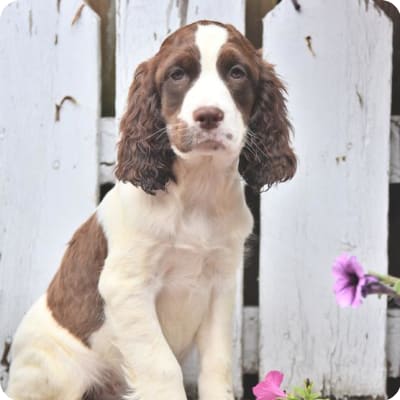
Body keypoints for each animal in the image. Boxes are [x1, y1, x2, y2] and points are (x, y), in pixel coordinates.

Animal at [5, 20, 294, 400]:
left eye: (236, 72)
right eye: (176, 74)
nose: (208, 116)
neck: (197, 192)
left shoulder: (220, 284)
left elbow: (216, 365)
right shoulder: (128, 286)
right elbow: (163, 367)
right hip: (58, 370)